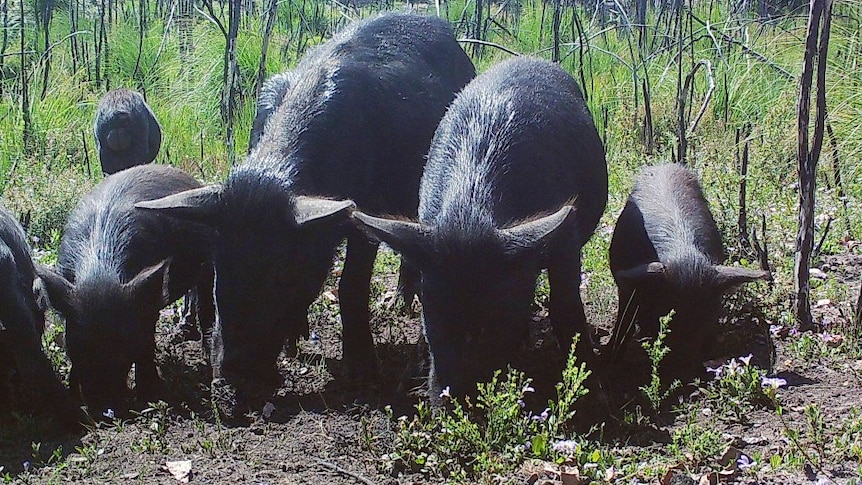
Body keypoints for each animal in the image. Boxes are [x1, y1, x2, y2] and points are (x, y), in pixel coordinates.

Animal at [35, 164, 214, 414]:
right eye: (79, 346)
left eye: (122, 348)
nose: (106, 410)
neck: (100, 271)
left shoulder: (147, 303)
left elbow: (146, 342)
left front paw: (152, 396)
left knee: (205, 300)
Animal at [135, 13, 476, 410]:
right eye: (220, 266)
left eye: (280, 270)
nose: (230, 381)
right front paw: (295, 345)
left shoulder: (367, 210)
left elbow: (350, 284)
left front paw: (361, 372)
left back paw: (397, 307)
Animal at [354, 56, 612, 398]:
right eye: (431, 306)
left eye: (495, 312)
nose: (455, 397)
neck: (470, 215)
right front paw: (403, 384)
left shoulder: (565, 242)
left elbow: (565, 305)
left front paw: (597, 390)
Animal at [608, 164, 768, 380]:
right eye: (665, 320)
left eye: (704, 322)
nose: (682, 374)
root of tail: (663, 165)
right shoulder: (627, 287)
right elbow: (624, 321)